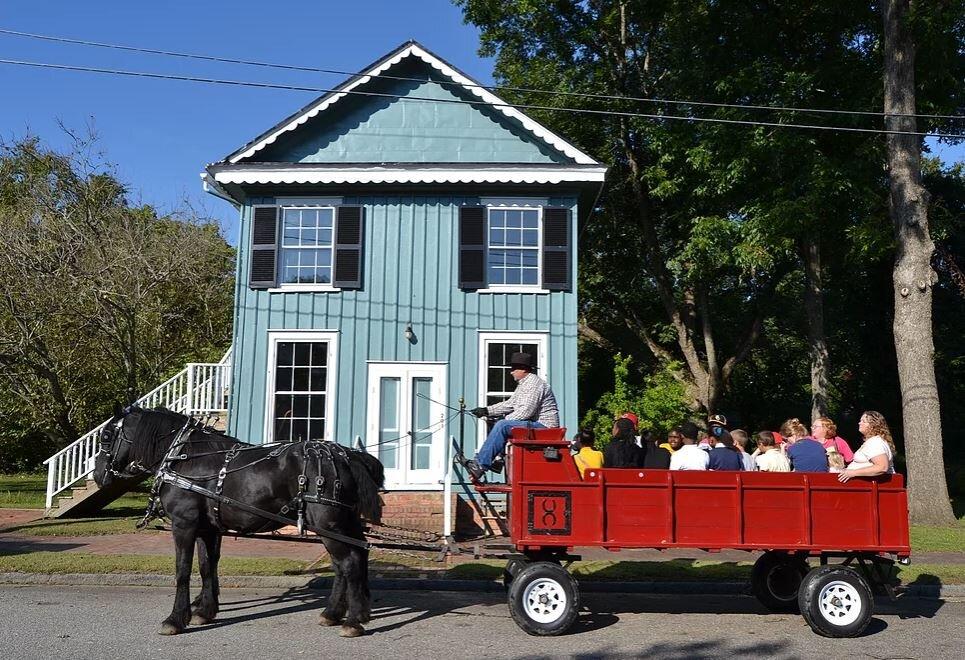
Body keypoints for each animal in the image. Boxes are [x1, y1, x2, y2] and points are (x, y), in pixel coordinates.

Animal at [94, 408, 384, 640]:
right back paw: (336, 613)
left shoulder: (184, 524)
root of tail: (347, 455)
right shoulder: (207, 528)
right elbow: (206, 567)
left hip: (329, 523)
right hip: (342, 523)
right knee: (351, 559)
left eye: (106, 436)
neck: (184, 458)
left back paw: (353, 621)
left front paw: (175, 619)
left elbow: (182, 570)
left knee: (349, 563)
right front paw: (205, 611)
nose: (98, 475)